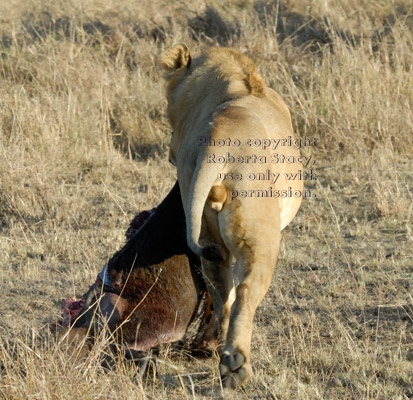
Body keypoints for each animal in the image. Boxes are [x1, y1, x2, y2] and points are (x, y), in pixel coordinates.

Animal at [162, 44, 302, 388]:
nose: (170, 151)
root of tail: (220, 142)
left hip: (206, 232)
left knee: (222, 292)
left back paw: (218, 350)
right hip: (260, 234)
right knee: (246, 292)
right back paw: (236, 363)